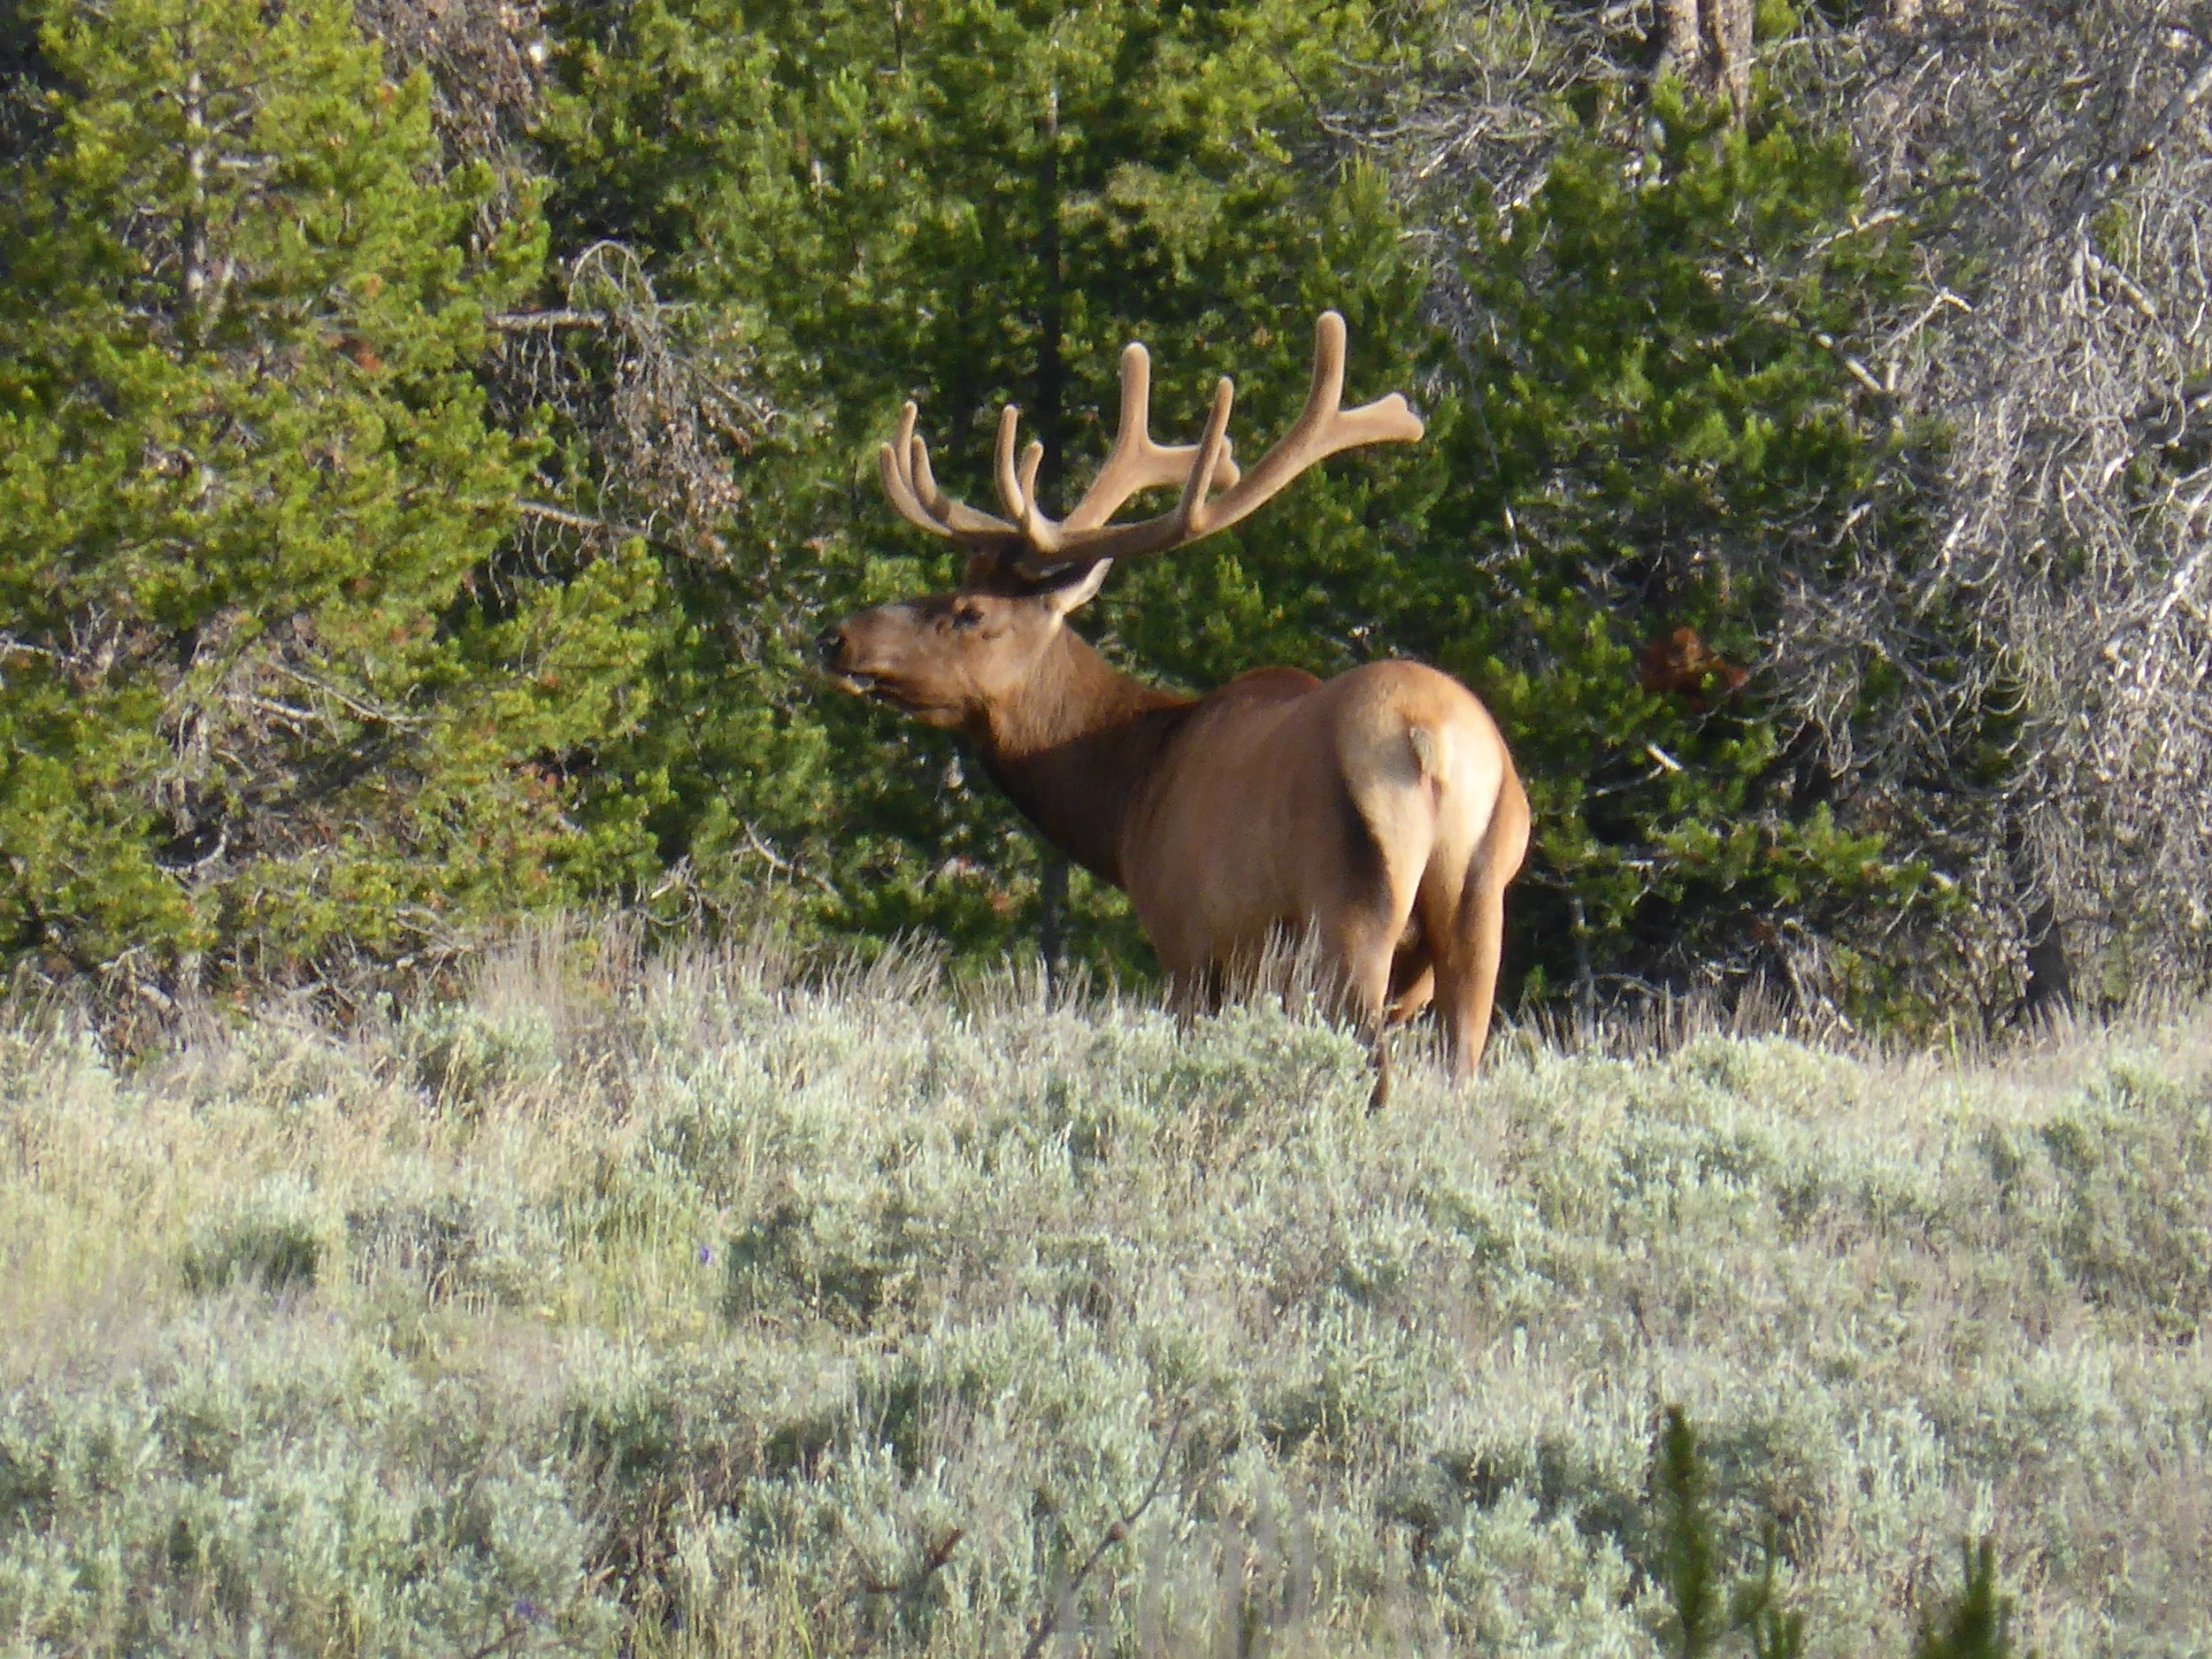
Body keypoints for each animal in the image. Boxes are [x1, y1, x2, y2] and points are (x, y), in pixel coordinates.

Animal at [818, 313, 1529, 1092]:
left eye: (970, 612)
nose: (836, 637)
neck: (1128, 798)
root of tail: (1432, 741)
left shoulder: (1189, 945)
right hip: (1480, 902)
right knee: (1461, 1065)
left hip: (1348, 909)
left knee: (1373, 1068)